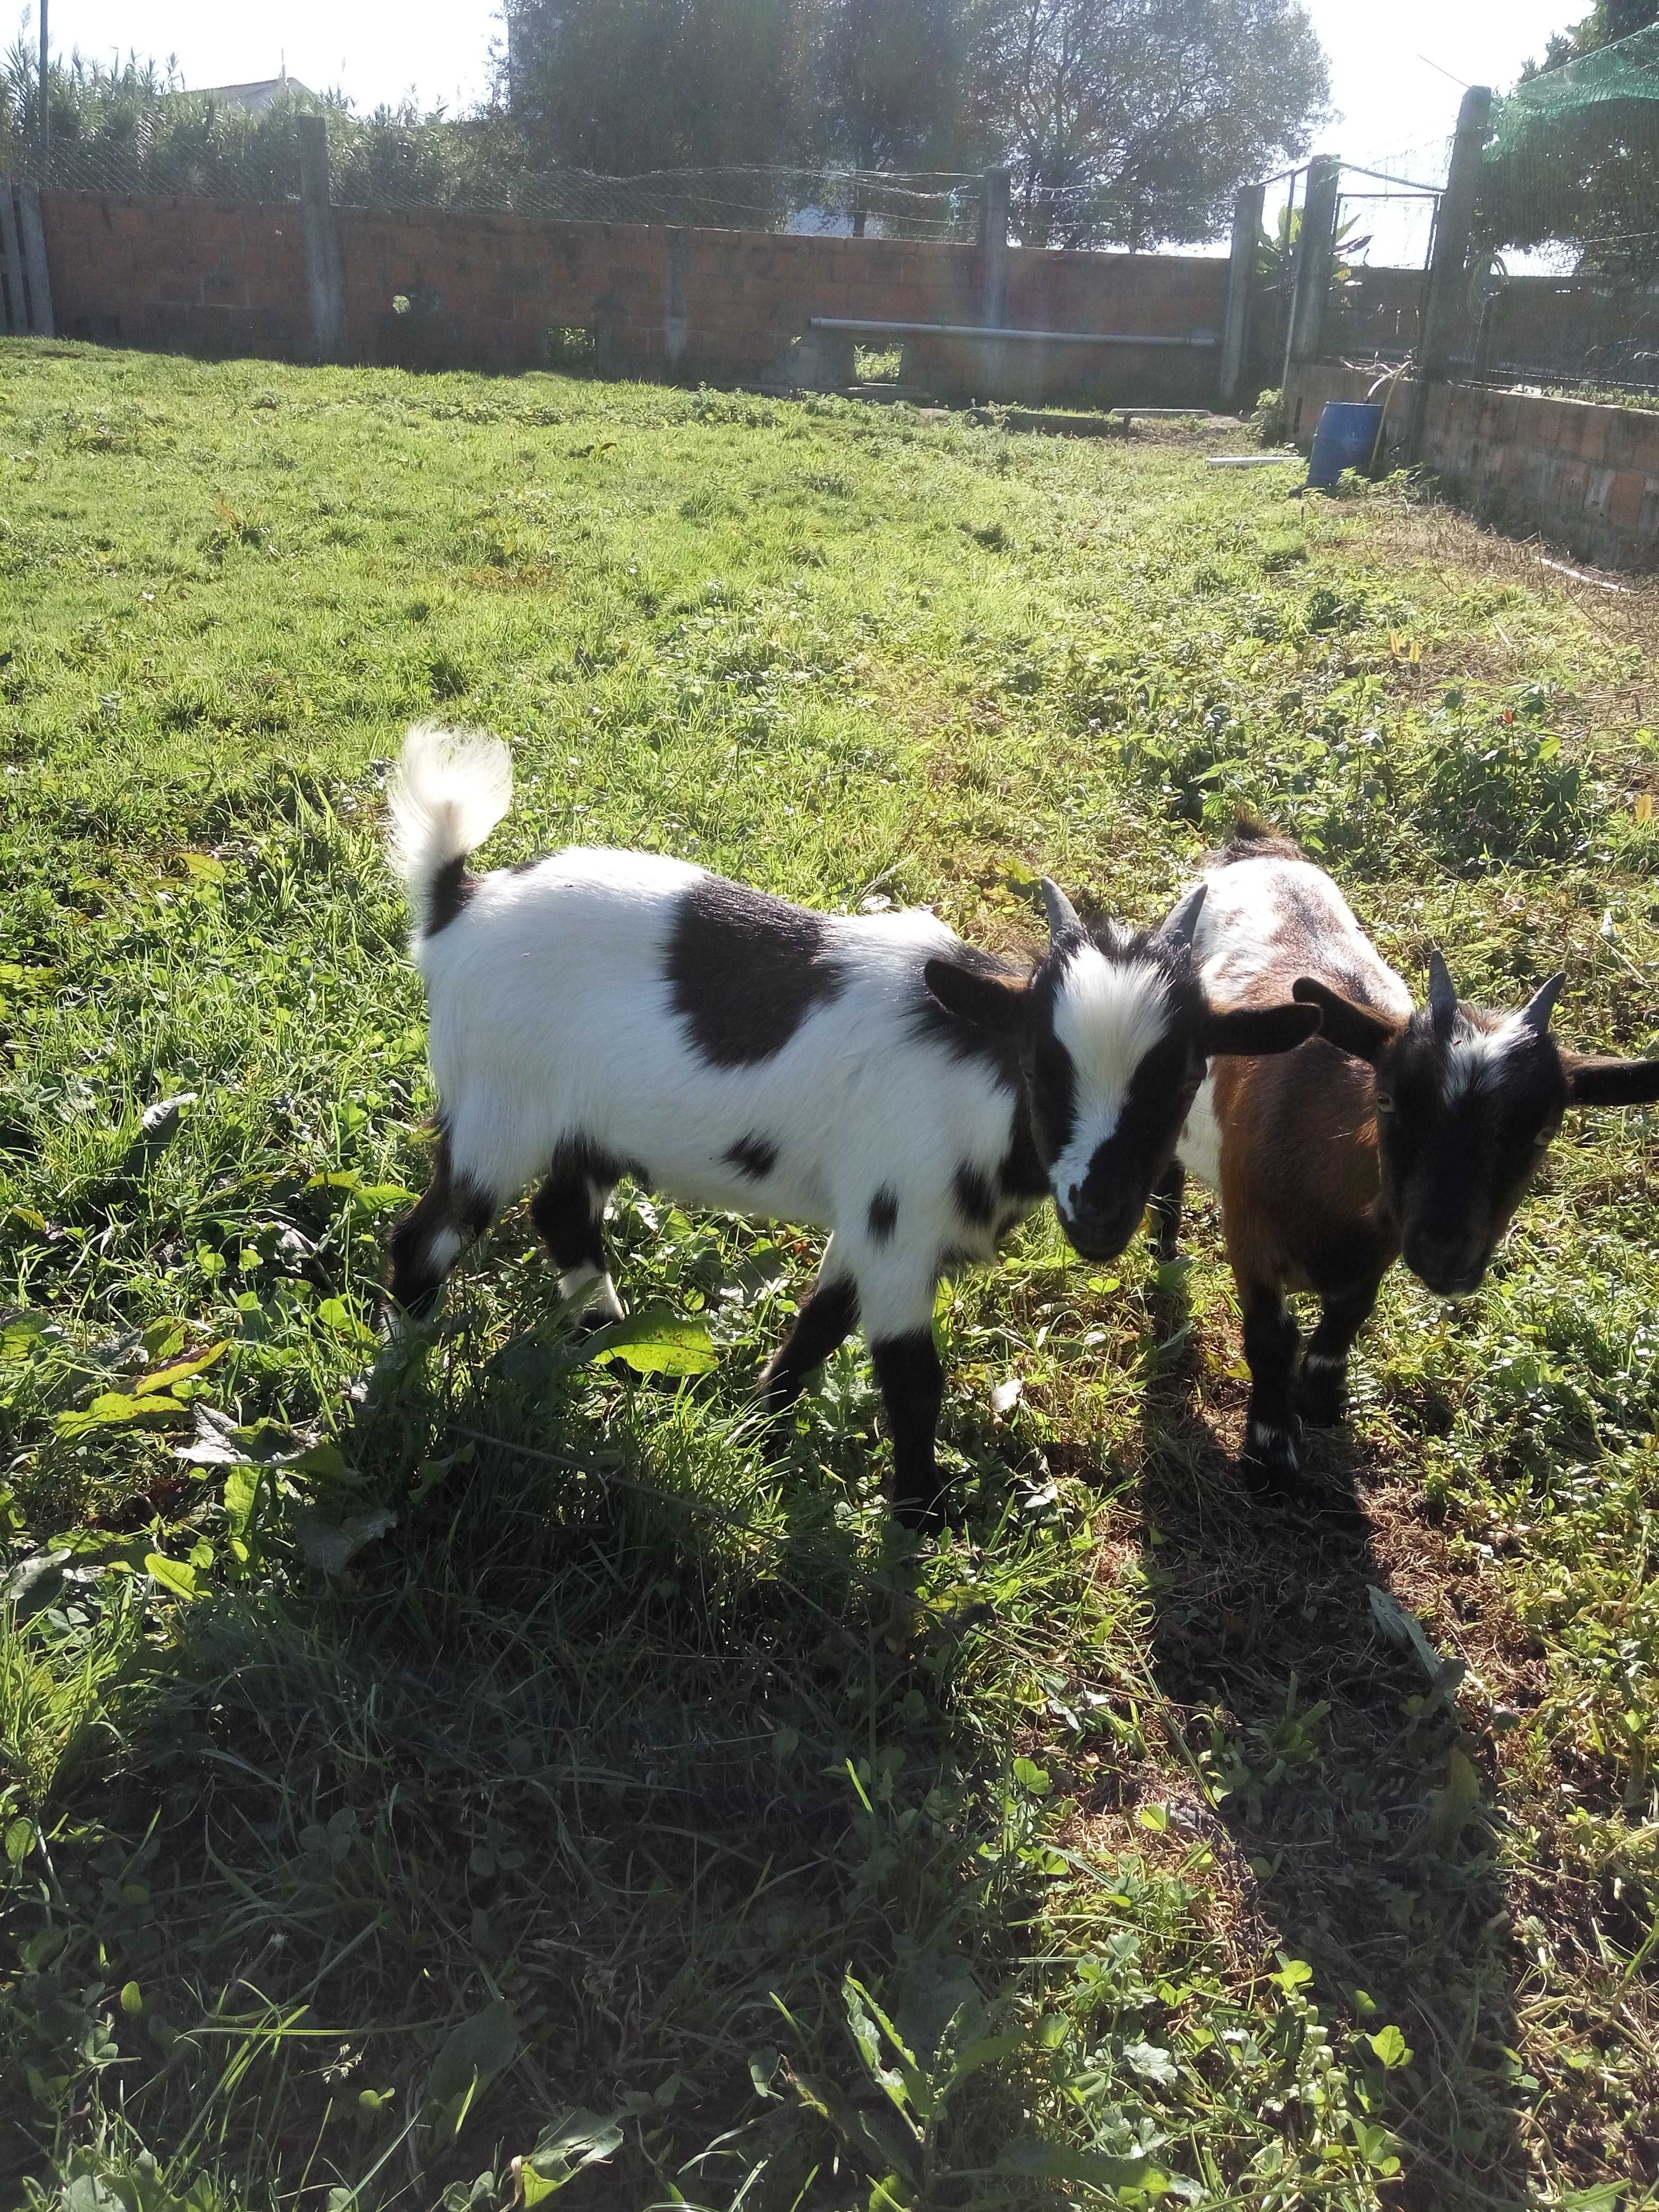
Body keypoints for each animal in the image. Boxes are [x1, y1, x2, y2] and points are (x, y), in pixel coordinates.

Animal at [387, 734, 1327, 1530]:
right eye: (1041, 1068)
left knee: (562, 1213)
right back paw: (400, 1386)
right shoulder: (899, 1227)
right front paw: (920, 1519)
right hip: (499, 1110)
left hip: (582, 1121)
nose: (1100, 1214)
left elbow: (817, 1327)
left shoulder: (871, 1221)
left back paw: (615, 1354)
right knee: (427, 1239)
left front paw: (758, 1440)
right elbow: (912, 1379)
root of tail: (458, 903)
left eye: (1184, 1077)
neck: (974, 1080)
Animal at [1159, 818, 1659, 1486]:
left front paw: (1321, 1399)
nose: (1447, 1249)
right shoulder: (1251, 1235)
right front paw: (1271, 1452)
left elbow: (1348, 1316)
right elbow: (1269, 1336)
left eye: (1544, 1129)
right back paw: (1164, 1257)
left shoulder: (1383, 1245)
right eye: (1388, 1098)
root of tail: (1257, 847)